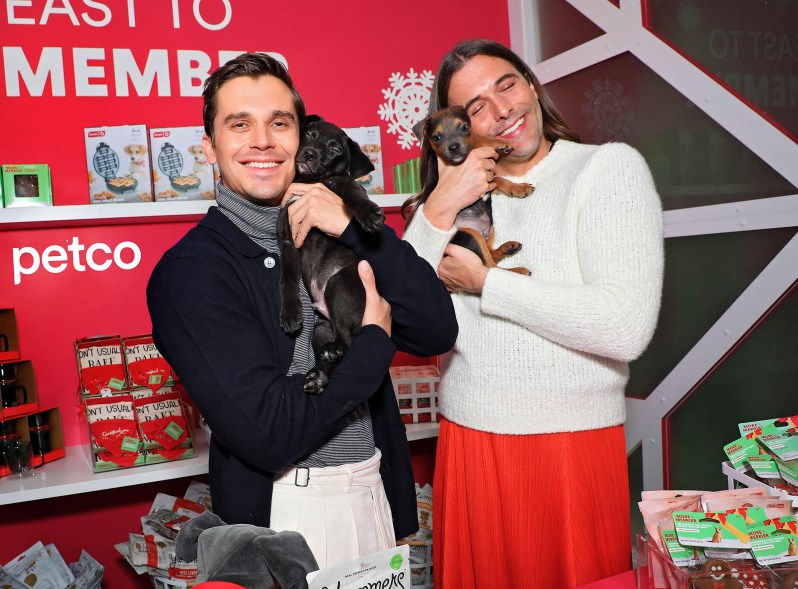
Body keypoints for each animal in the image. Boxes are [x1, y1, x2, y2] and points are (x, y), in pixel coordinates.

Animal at [278, 113, 384, 396]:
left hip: (338, 284)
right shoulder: (288, 241)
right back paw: (319, 375)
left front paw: (368, 212)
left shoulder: (343, 185)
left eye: (336, 149)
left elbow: (353, 192)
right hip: (321, 329)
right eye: (310, 133)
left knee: (345, 339)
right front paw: (290, 313)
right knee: (334, 349)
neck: (308, 184)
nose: (310, 153)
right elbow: (287, 280)